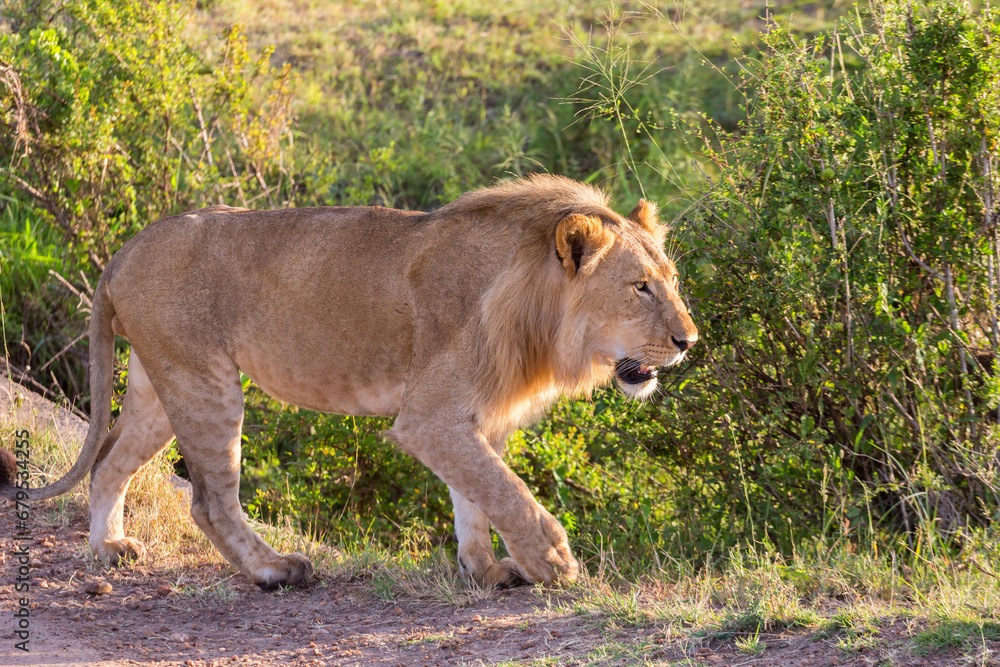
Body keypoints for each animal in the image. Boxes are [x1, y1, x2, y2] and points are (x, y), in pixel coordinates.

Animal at [1, 176, 696, 588]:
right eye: (640, 287)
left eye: (672, 281)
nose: (689, 341)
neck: (538, 312)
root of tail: (123, 250)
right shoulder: (430, 416)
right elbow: (507, 491)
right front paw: (552, 560)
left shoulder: (471, 417)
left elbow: (475, 493)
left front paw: (484, 570)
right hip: (204, 383)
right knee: (209, 500)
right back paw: (274, 570)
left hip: (157, 383)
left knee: (109, 462)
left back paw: (108, 548)